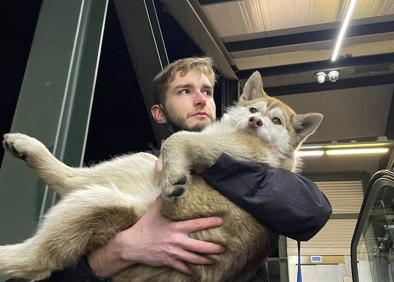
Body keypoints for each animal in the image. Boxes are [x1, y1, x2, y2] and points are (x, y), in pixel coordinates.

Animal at [0, 71, 324, 280]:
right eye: (253, 109)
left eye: (276, 121)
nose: (255, 121)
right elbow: (177, 139)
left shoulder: (230, 151)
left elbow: (177, 138)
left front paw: (174, 174)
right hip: (133, 166)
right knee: (71, 178)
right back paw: (28, 147)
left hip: (97, 202)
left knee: (38, 260)